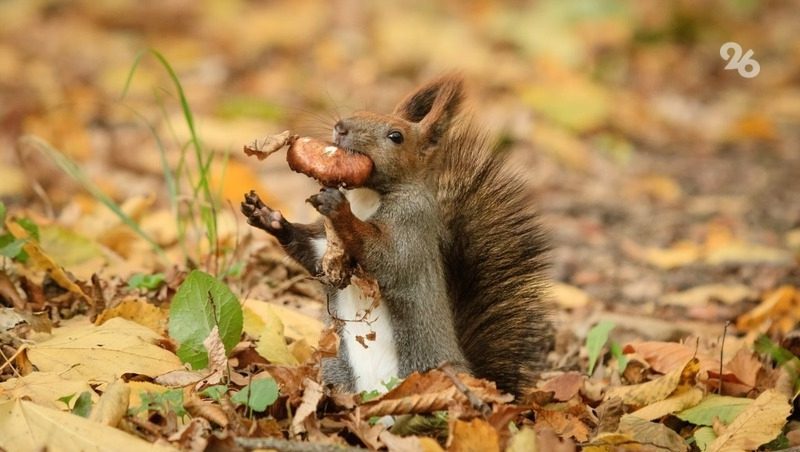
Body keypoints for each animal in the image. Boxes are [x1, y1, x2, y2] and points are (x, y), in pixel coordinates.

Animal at [241, 74, 552, 396]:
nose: (341, 127)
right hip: (337, 370)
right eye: (360, 111)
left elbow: (388, 257)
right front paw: (266, 216)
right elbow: (313, 252)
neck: (367, 195)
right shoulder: (325, 245)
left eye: (396, 137)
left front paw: (338, 210)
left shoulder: (412, 226)